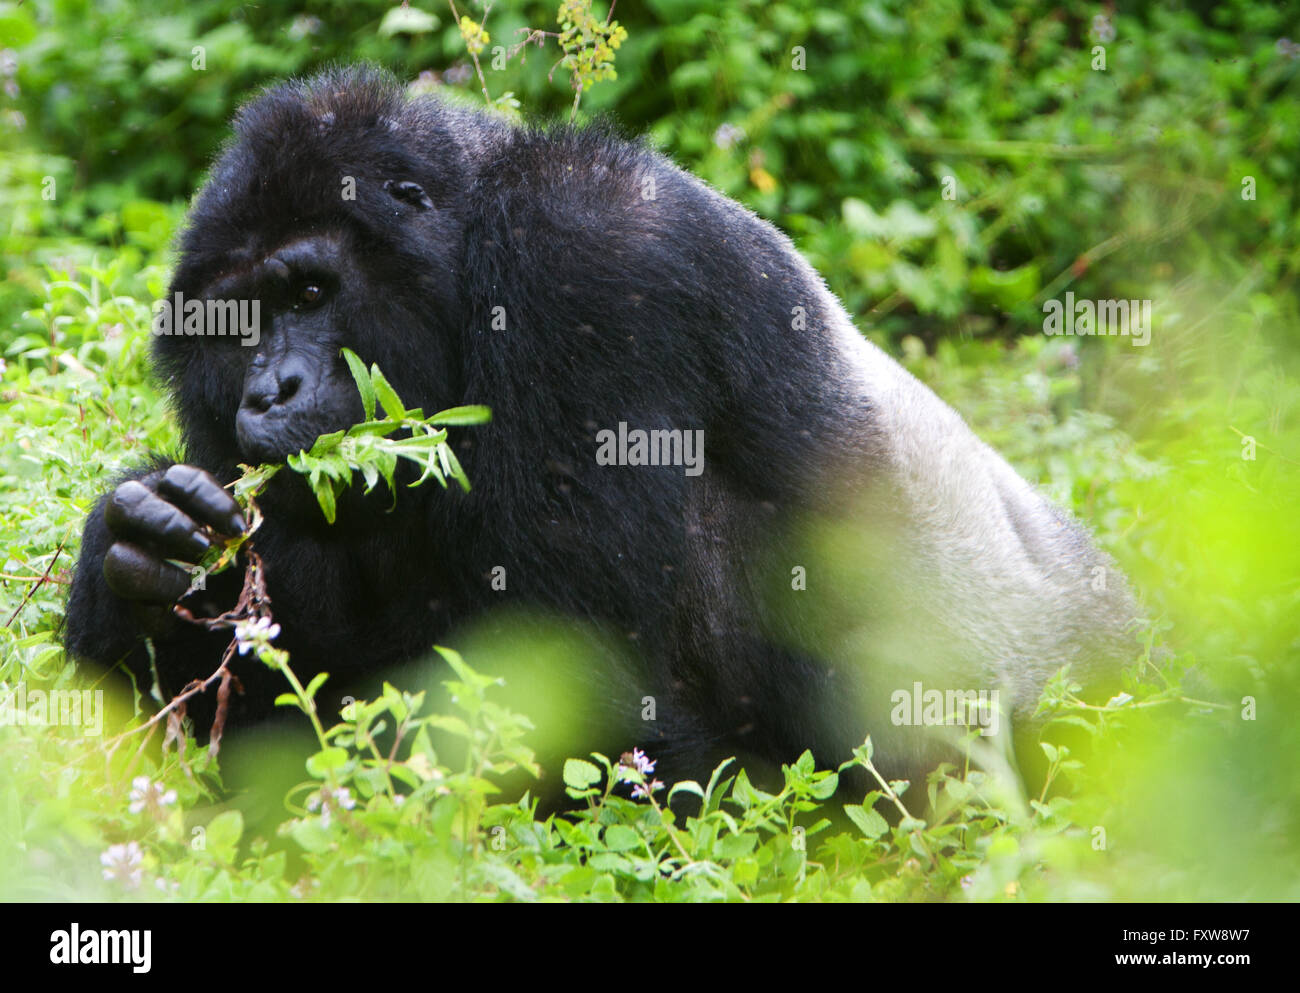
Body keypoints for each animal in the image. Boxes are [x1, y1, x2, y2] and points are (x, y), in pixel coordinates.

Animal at [63, 67, 1138, 800]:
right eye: (233, 326)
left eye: (310, 291)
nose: (268, 392)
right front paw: (140, 555)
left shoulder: (585, 257)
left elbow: (570, 681)